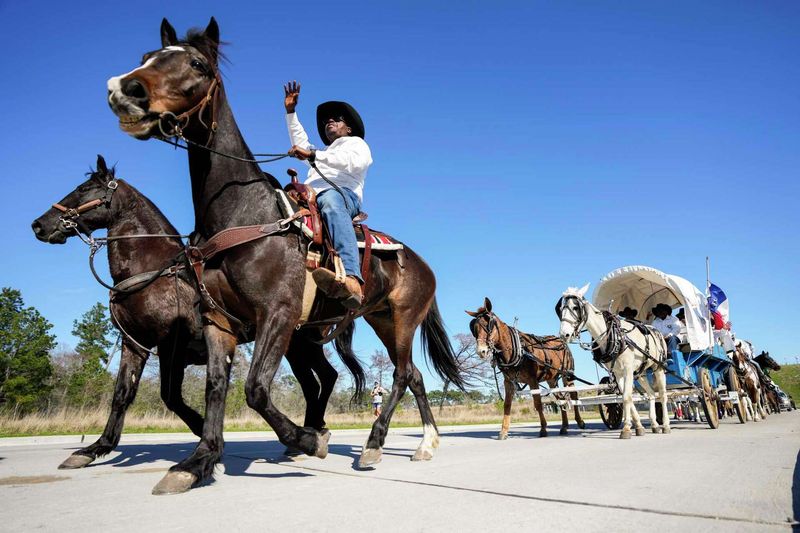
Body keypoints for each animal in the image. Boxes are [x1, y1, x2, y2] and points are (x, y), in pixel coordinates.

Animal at [31, 155, 358, 468]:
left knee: (323, 378)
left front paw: (204, 432)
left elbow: (170, 396)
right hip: (296, 345)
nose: (39, 225)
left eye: (84, 189)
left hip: (296, 341)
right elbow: (123, 394)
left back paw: (310, 433)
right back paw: (309, 432)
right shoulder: (135, 343)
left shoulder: (171, 347)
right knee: (319, 380)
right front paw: (97, 447)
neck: (155, 271)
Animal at [106, 18, 465, 493]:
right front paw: (197, 463)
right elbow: (217, 387)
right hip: (382, 319)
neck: (242, 214)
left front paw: (309, 440)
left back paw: (372, 445)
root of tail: (423, 264)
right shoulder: (219, 321)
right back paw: (424, 443)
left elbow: (256, 388)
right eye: (147, 55)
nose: (124, 89)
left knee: (403, 374)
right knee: (415, 376)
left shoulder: (276, 313)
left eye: (197, 64)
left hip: (405, 317)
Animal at [466, 298, 585, 439]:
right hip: (551, 379)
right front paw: (503, 431)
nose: (481, 351)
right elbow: (507, 405)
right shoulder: (508, 382)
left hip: (568, 374)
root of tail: (562, 341)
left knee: (574, 395)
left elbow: (538, 404)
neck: (517, 350)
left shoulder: (532, 380)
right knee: (560, 399)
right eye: (474, 328)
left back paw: (580, 421)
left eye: (489, 325)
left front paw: (543, 429)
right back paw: (564, 426)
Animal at [556, 284, 671, 439]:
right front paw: (638, 426)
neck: (613, 335)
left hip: (658, 367)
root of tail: (656, 331)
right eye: (561, 309)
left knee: (663, 395)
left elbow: (627, 397)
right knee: (651, 394)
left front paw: (626, 428)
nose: (564, 334)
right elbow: (625, 397)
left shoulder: (627, 370)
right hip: (640, 373)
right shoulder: (618, 373)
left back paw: (666, 425)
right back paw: (654, 424)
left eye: (575, 307)